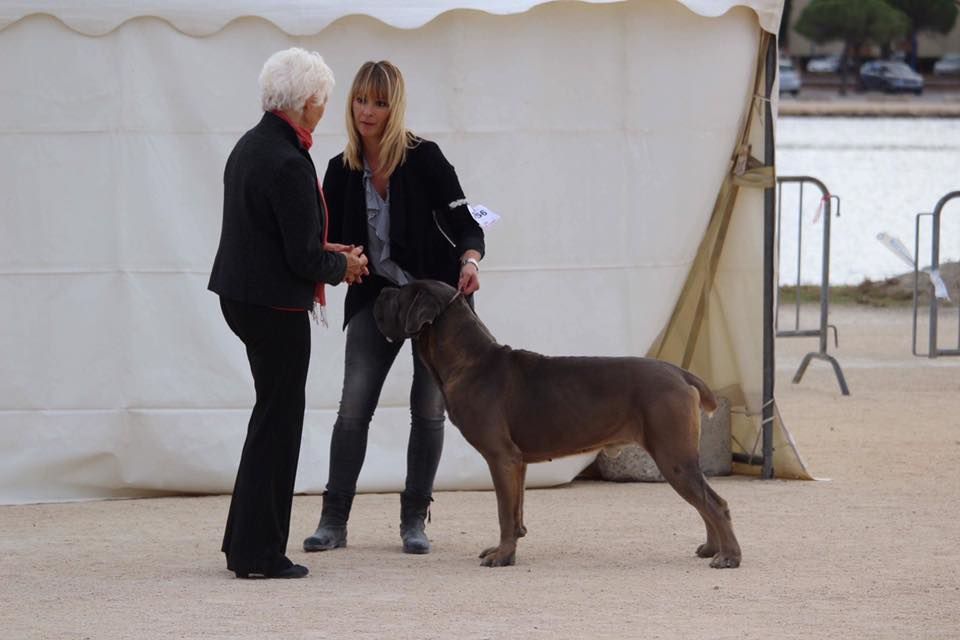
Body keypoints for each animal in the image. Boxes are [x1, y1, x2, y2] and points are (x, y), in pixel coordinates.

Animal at [374, 280, 744, 568]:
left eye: (400, 294)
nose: (380, 291)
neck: (470, 361)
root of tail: (680, 373)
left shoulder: (501, 457)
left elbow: (503, 512)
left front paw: (503, 556)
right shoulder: (517, 462)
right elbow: (516, 510)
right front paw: (507, 547)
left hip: (673, 455)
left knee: (714, 503)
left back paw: (729, 556)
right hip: (677, 456)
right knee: (705, 501)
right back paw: (712, 548)